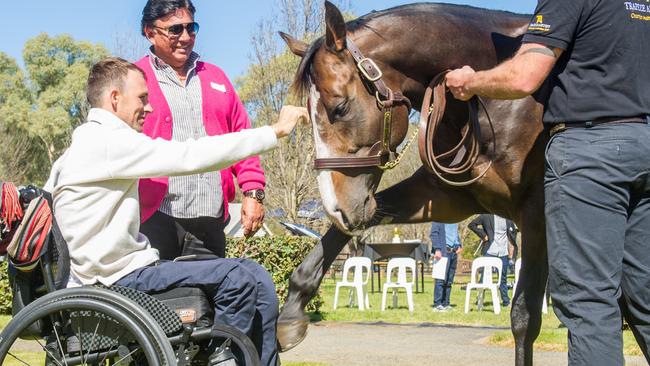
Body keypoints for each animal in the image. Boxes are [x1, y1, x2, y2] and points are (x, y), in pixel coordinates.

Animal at [276, 3, 544, 366]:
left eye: (340, 108)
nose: (335, 208)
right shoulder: (444, 198)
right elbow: (329, 242)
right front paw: (291, 314)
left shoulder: (537, 217)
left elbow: (525, 319)